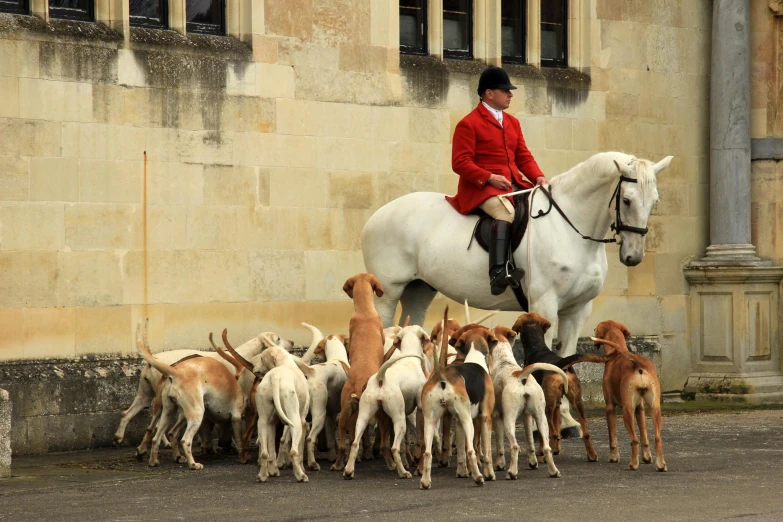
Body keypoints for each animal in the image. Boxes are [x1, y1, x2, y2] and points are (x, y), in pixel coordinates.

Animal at [330, 270, 392, 470]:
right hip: (377, 415)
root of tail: (358, 385)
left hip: (345, 414)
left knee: (344, 445)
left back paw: (338, 464)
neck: (365, 311)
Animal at [362, 148, 672, 356]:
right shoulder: (545, 306)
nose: (633, 257)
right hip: (388, 293)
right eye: (627, 200)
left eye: (655, 202)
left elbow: (567, 359)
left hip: (419, 288)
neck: (570, 228)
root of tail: (375, 216)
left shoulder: (578, 309)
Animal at [596, 318, 668, 470]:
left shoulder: (610, 407)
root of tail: (639, 364)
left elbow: (612, 437)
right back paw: (660, 465)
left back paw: (633, 464)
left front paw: (613, 457)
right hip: (655, 409)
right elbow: (644, 437)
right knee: (657, 438)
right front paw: (647, 457)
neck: (617, 353)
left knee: (634, 439)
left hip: (627, 410)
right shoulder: (639, 408)